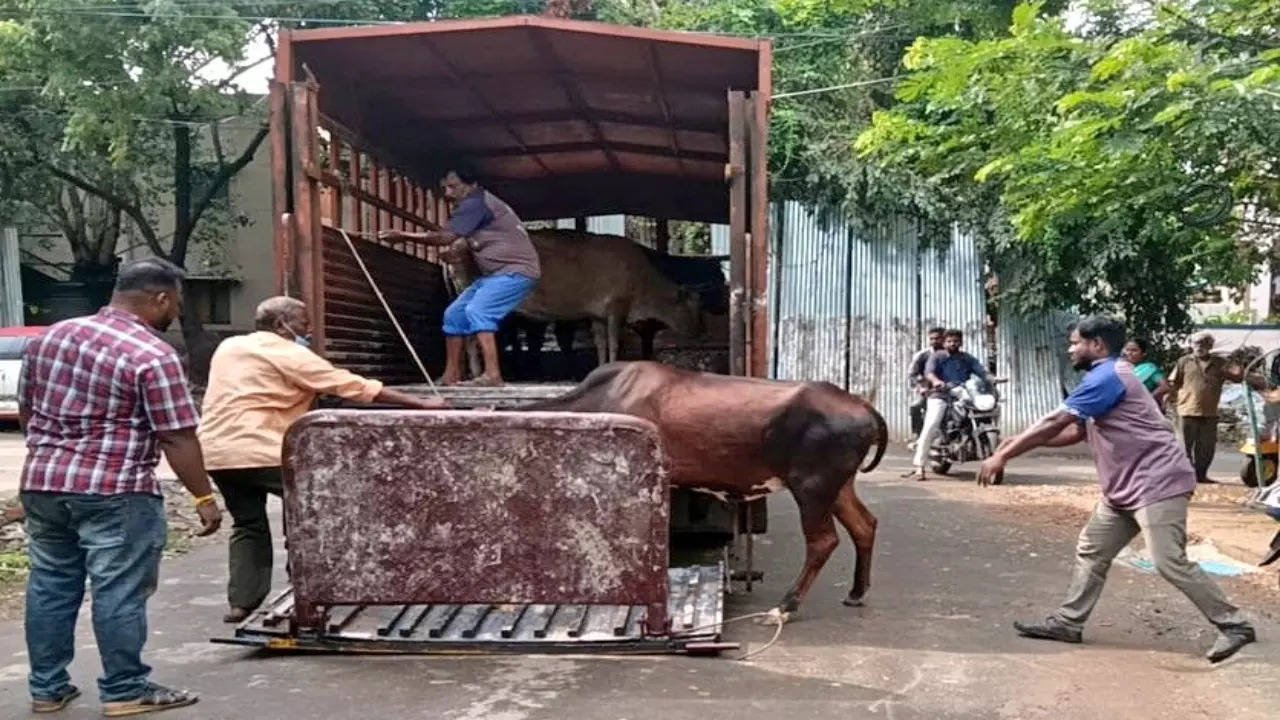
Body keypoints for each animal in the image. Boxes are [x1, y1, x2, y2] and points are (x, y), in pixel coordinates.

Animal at [239, 16, 768, 653]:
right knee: (473, 329)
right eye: (697, 303)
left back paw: (467, 374)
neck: (648, 287)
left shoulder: (604, 314)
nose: (701, 327)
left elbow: (610, 346)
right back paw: (469, 374)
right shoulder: (612, 307)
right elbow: (609, 342)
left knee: (470, 328)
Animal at [524, 361, 885, 620]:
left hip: (811, 487)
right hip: (838, 487)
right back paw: (856, 593)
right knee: (865, 525)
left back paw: (785, 607)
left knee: (823, 541)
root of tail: (862, 406)